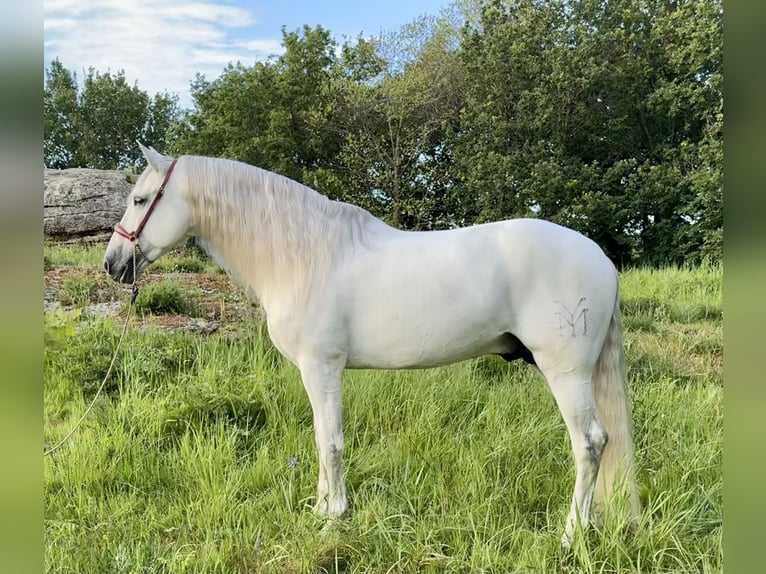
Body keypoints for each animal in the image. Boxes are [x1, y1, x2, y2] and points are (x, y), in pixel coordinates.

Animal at [102, 145, 640, 548]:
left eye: (140, 199)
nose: (113, 263)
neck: (305, 256)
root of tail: (598, 256)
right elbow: (322, 440)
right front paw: (321, 509)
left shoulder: (322, 367)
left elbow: (331, 442)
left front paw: (334, 518)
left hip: (566, 372)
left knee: (590, 443)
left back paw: (571, 534)